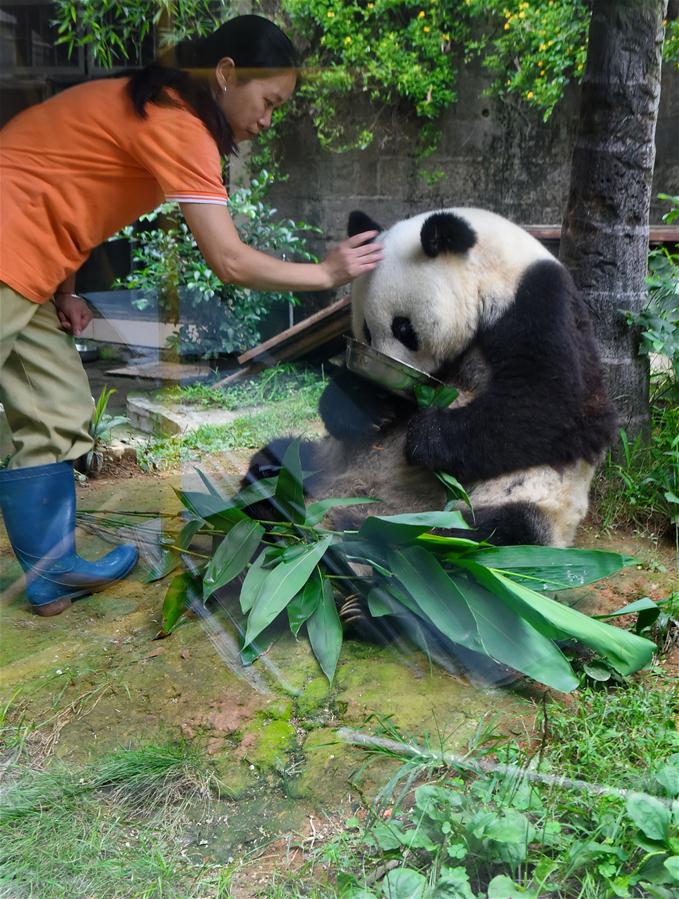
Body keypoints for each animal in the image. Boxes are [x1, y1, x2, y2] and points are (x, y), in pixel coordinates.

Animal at [245, 207, 618, 551]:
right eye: (365, 331)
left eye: (403, 328)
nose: (384, 379)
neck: (496, 266)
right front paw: (372, 406)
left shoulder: (539, 303)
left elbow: (562, 407)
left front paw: (427, 437)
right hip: (328, 460)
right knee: (283, 455)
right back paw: (275, 493)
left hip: (523, 501)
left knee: (489, 533)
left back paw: (370, 532)